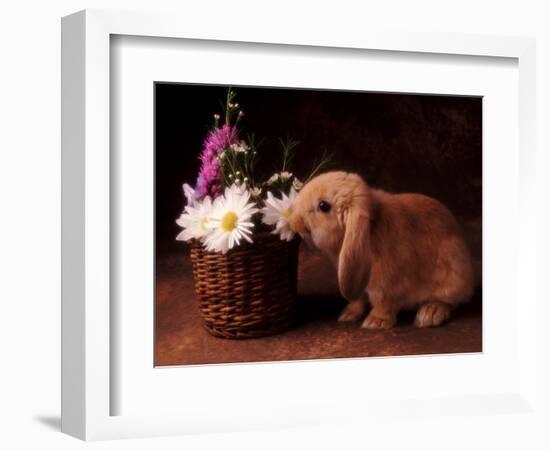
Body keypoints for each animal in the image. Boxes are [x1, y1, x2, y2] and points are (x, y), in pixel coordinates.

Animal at [286, 171, 476, 328]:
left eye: (323, 206)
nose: (293, 221)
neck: (371, 228)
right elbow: (358, 299)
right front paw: (347, 315)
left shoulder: (386, 284)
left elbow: (382, 301)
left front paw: (375, 322)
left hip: (452, 274)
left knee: (450, 301)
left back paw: (429, 314)